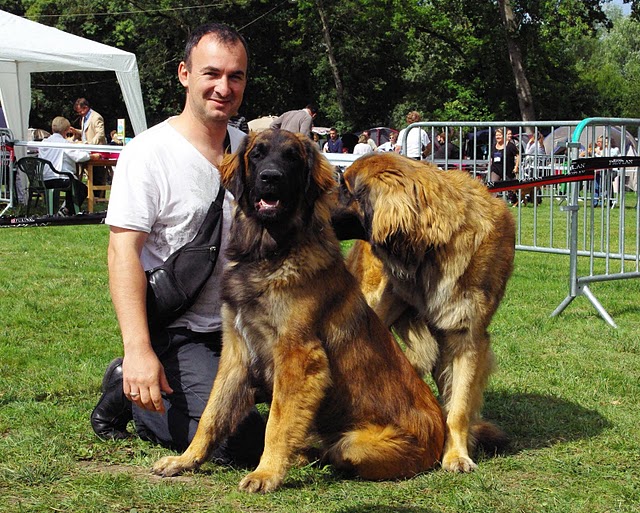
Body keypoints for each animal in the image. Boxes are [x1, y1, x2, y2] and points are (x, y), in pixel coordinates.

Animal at [154, 129, 444, 492]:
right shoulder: (236, 352)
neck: (267, 254)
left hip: (353, 444)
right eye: (258, 154)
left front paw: (266, 473)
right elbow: (211, 414)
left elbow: (277, 423)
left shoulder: (298, 357)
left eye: (291, 157)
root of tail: (442, 436)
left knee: (335, 451)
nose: (270, 178)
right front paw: (185, 460)